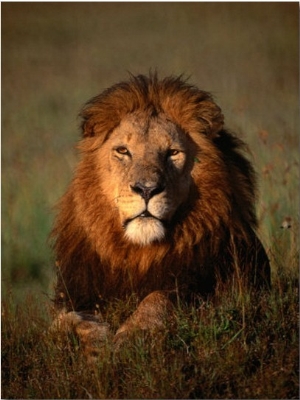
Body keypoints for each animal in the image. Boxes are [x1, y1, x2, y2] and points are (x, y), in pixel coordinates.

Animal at [50, 73, 270, 358]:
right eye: (123, 151)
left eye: (172, 153)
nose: (146, 189)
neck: (140, 254)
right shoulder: (73, 293)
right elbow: (61, 321)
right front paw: (96, 343)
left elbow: (158, 299)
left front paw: (131, 339)